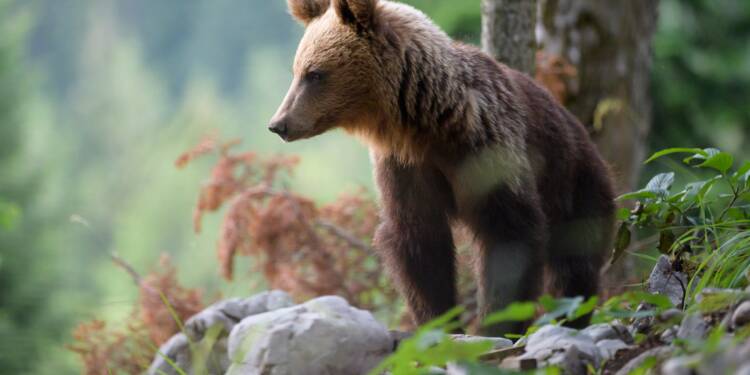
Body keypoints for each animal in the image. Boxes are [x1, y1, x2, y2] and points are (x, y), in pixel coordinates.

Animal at [270, 0, 616, 334]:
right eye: (296, 70)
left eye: (315, 73)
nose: (279, 124)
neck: (431, 123)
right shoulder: (405, 167)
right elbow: (419, 242)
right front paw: (439, 321)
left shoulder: (488, 148)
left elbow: (508, 232)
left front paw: (496, 324)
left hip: (574, 182)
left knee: (575, 262)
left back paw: (572, 315)